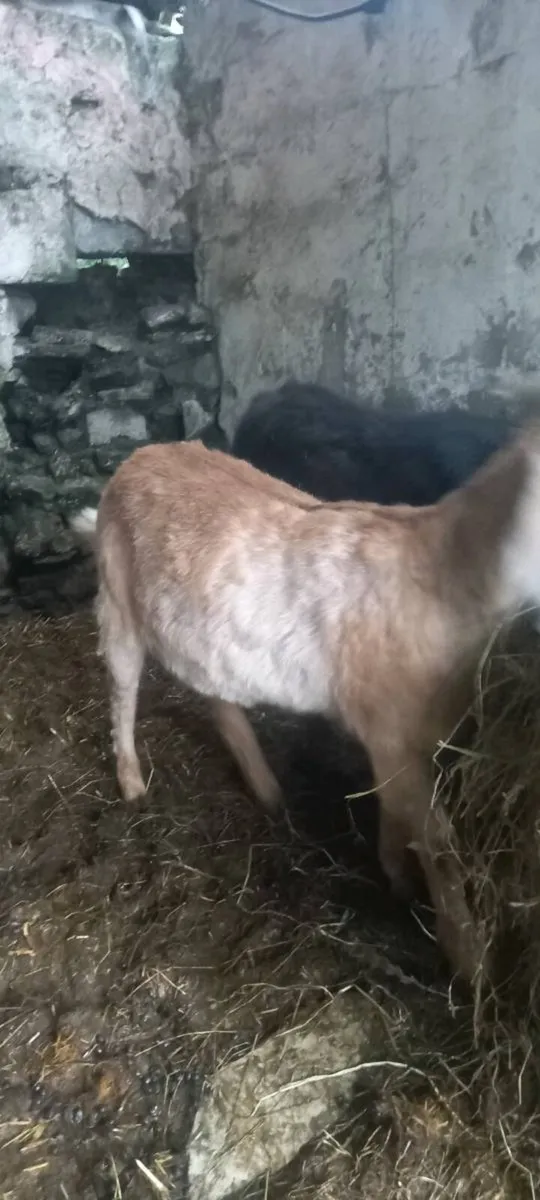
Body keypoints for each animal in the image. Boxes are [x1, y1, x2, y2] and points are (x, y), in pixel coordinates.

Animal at [71, 422, 540, 982]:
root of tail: (141, 456)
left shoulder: (408, 739)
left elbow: (397, 813)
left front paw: (398, 879)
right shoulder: (391, 733)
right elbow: (439, 845)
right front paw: (469, 961)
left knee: (218, 700)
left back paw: (267, 790)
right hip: (117, 598)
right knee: (122, 692)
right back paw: (132, 784)